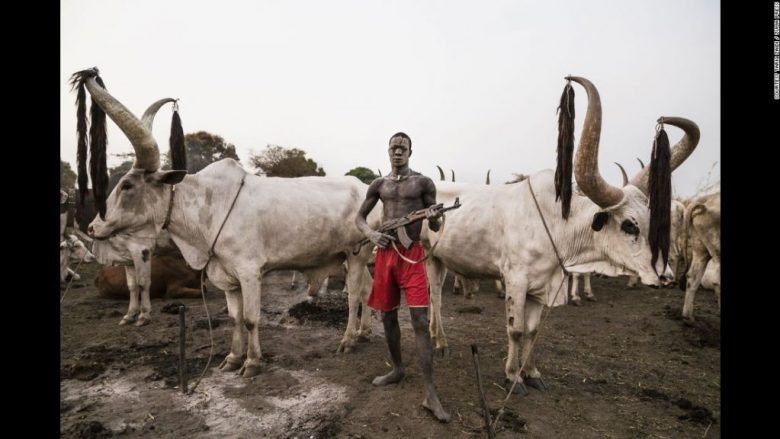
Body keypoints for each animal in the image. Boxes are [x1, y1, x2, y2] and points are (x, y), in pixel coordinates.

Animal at [74, 69, 380, 378]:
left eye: (127, 185)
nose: (93, 227)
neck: (209, 207)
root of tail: (364, 187)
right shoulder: (227, 278)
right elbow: (235, 318)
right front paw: (233, 358)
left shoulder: (250, 272)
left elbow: (251, 318)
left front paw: (252, 362)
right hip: (352, 257)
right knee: (367, 289)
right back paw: (363, 332)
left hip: (356, 254)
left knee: (354, 295)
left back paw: (348, 339)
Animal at [420, 76, 700, 396]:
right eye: (629, 225)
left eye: (653, 220)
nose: (665, 275)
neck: (556, 224)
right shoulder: (516, 280)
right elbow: (516, 330)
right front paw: (512, 376)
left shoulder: (542, 286)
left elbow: (532, 331)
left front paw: (531, 372)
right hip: (428, 257)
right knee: (435, 296)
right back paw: (440, 342)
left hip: (441, 258)